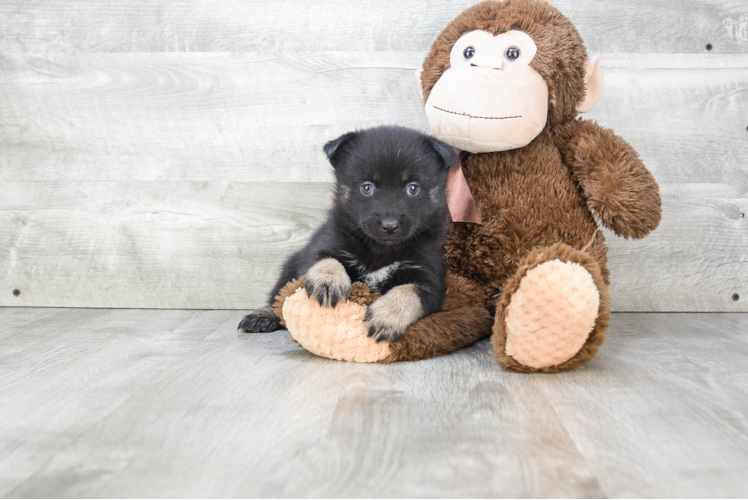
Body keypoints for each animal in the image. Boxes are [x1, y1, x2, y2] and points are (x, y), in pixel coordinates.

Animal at [238, 127, 456, 342]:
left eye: (413, 188)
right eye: (367, 187)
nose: (389, 226)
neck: (381, 249)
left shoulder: (427, 278)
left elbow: (407, 292)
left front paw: (387, 316)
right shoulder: (326, 244)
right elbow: (326, 259)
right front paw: (328, 281)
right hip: (290, 265)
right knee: (279, 296)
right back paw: (262, 316)